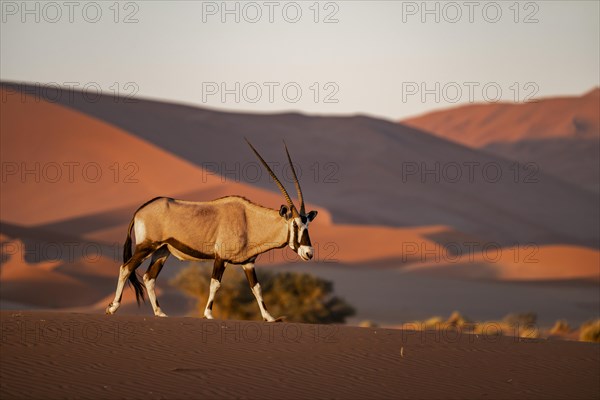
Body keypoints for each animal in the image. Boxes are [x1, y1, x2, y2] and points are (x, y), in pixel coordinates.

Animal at [105, 140, 316, 322]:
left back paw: (160, 312)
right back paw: (113, 308)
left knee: (149, 277)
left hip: (162, 251)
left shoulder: (248, 263)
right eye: (295, 225)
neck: (249, 220)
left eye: (307, 226)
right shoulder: (220, 257)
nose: (309, 253)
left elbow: (256, 288)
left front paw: (270, 317)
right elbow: (215, 283)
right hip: (147, 247)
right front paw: (208, 314)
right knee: (126, 268)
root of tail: (139, 210)